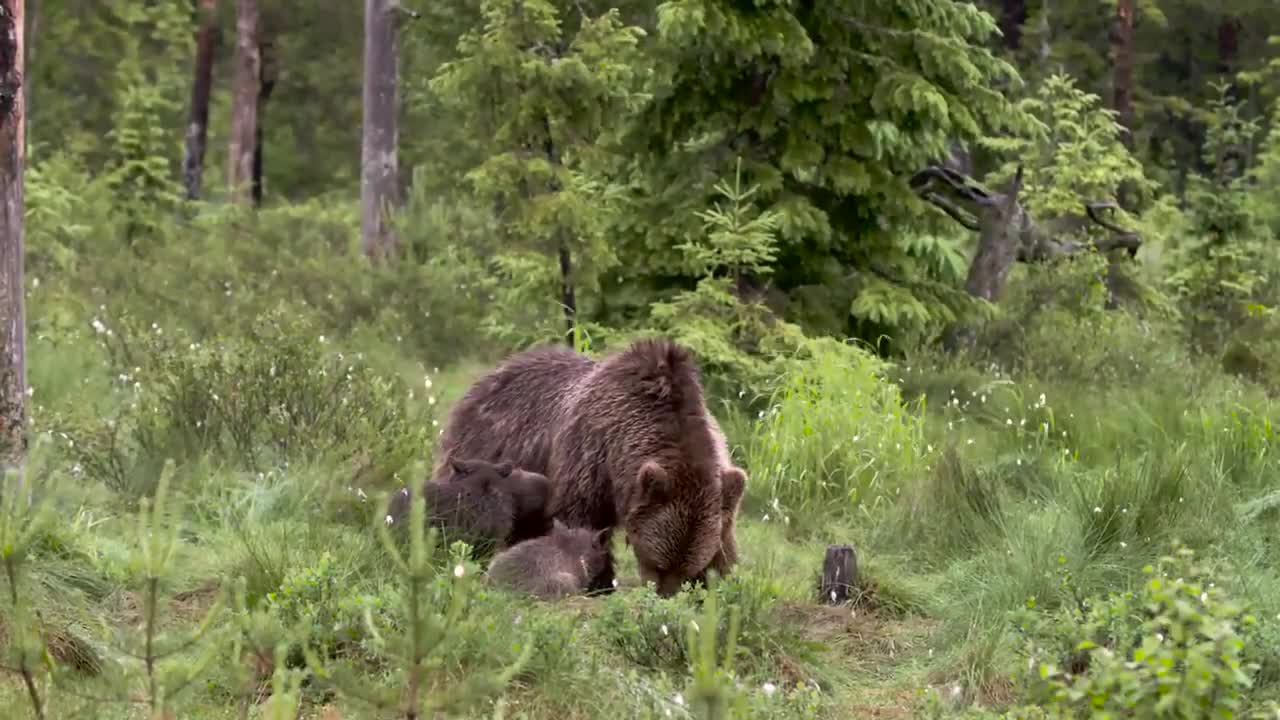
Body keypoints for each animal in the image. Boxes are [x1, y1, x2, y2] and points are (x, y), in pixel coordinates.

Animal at [432, 335, 747, 594]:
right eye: (658, 564)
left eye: (686, 569)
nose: (664, 596)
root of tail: (492, 374)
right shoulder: (589, 458)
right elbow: (579, 523)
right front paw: (599, 581)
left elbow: (724, 543)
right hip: (483, 454)